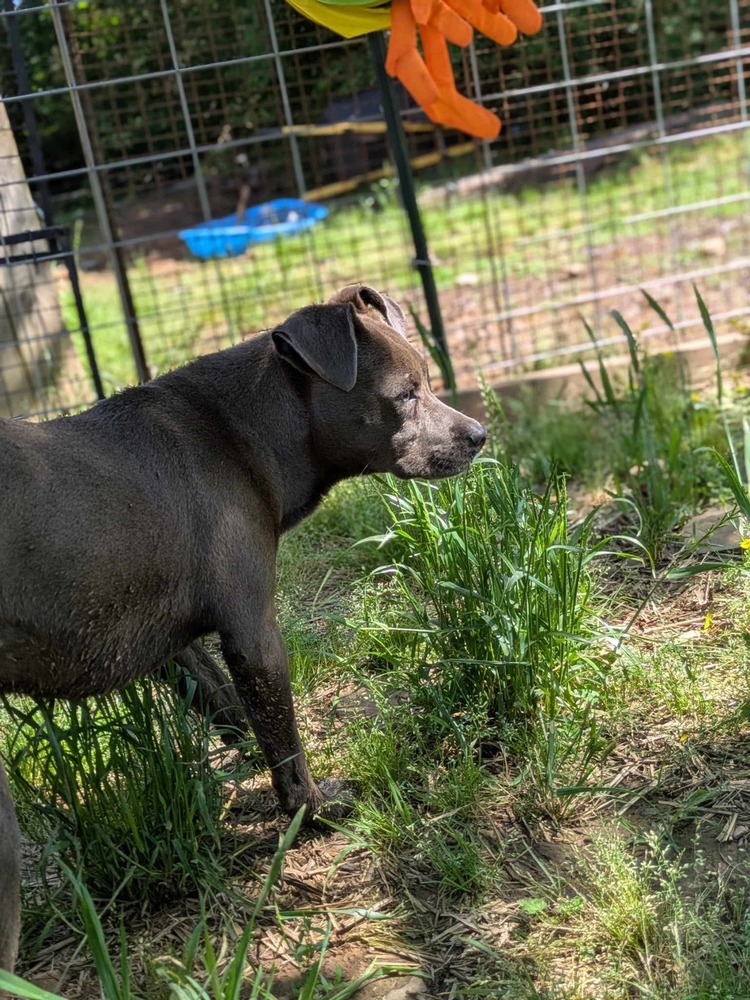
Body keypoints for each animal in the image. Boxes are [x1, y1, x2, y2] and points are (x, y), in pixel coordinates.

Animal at [0, 283, 485, 971]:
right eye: (406, 393)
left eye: (427, 378)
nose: (479, 434)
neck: (244, 430)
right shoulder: (254, 633)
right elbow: (285, 743)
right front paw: (313, 814)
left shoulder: (174, 648)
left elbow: (230, 707)